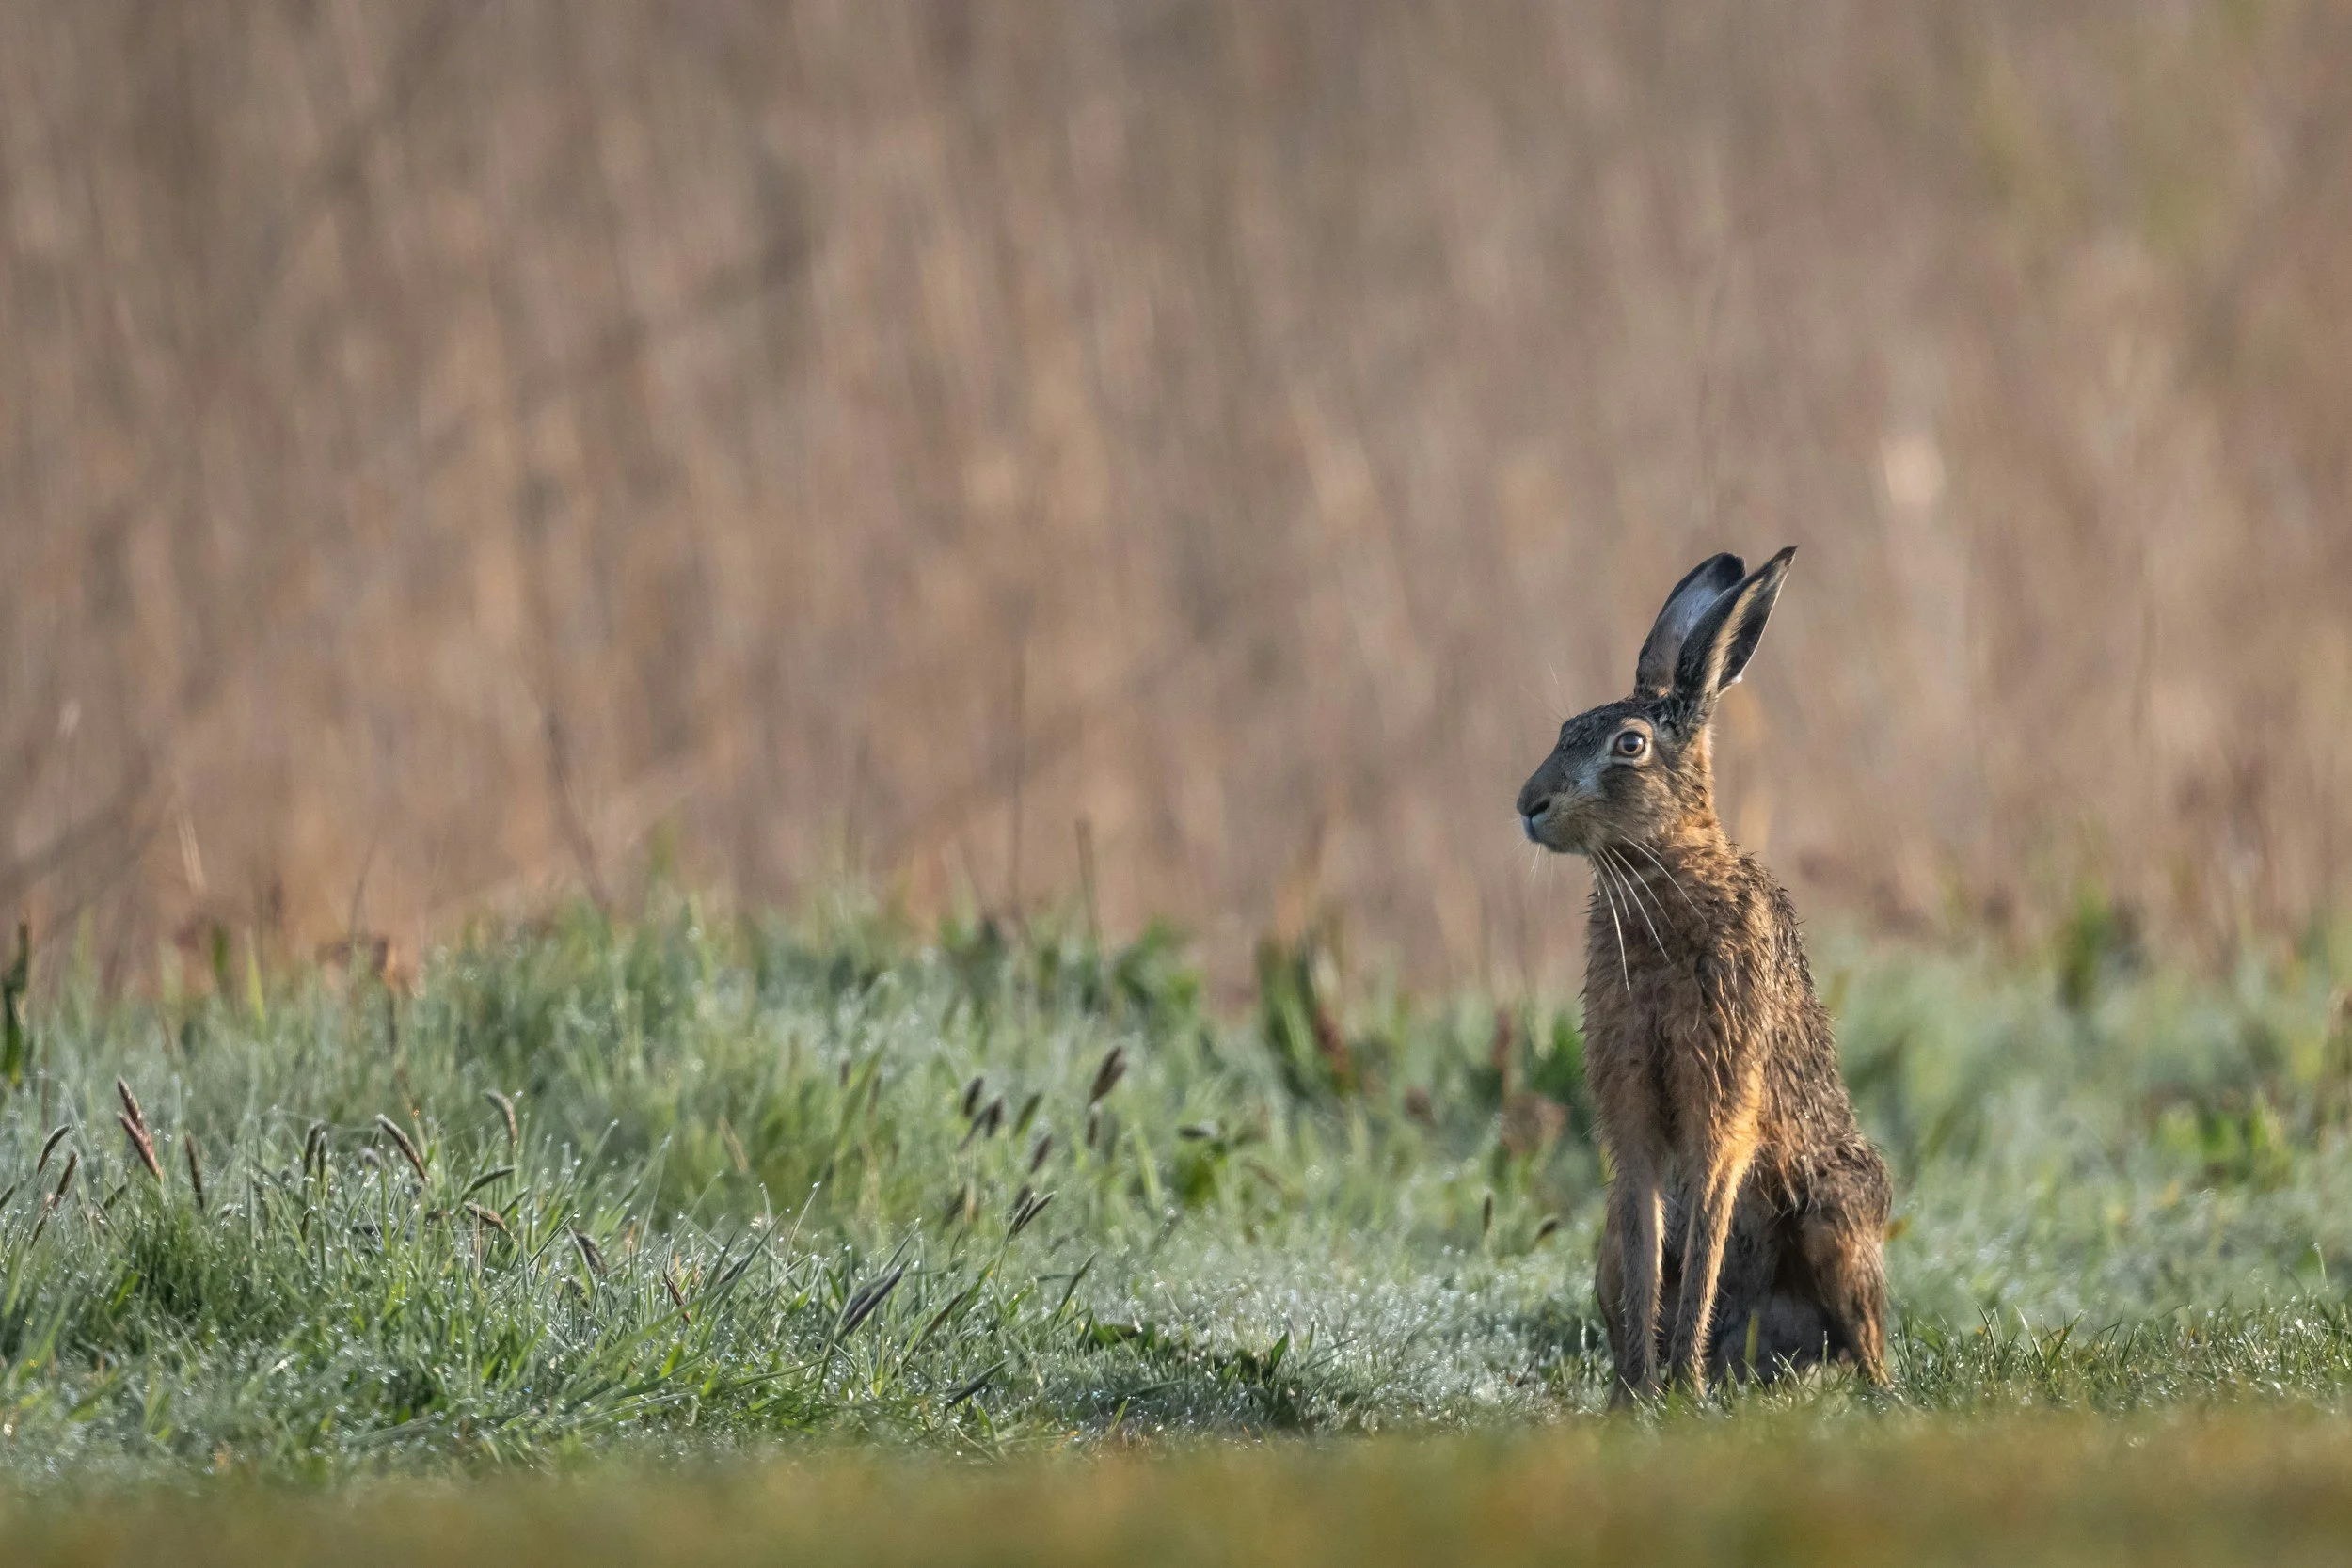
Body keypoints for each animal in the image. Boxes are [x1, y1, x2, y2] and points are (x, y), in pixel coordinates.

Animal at [1516, 548, 1890, 1400]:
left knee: (1868, 1340)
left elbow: (1707, 1234)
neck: (1663, 873)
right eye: (1565, 730)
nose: (1528, 803)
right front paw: (1638, 1394)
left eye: (1628, 745)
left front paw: (1678, 1385)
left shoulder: (1721, 1094)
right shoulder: (1630, 1101)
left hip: (1837, 1218)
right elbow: (1650, 1241)